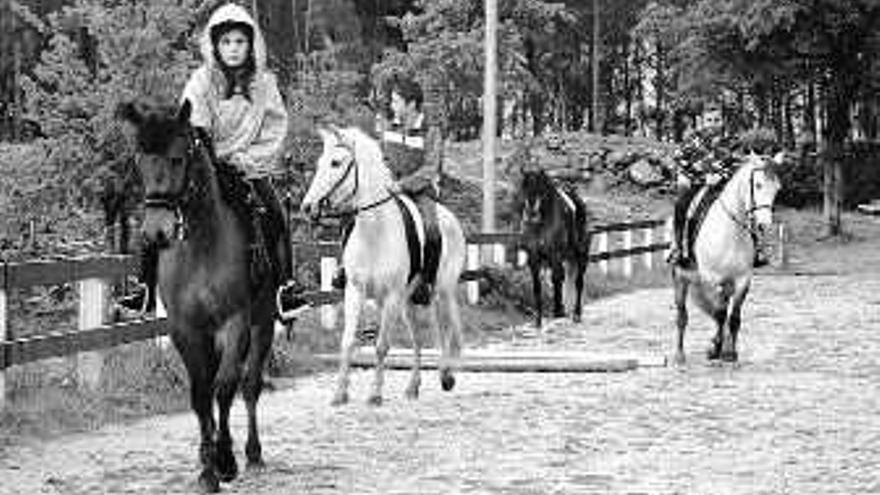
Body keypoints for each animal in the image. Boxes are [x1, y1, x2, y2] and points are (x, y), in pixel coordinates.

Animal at [116, 99, 288, 494]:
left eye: (178, 158)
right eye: (140, 161)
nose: (157, 232)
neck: (202, 247)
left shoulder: (236, 322)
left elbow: (224, 387)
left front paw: (225, 461)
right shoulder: (186, 329)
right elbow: (200, 393)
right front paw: (208, 469)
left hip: (263, 324)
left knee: (250, 385)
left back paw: (252, 454)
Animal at [300, 124, 468, 406]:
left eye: (336, 163)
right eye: (320, 162)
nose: (307, 207)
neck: (374, 232)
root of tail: (450, 219)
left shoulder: (391, 296)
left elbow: (381, 346)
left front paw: (375, 394)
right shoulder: (356, 291)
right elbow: (348, 342)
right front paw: (340, 393)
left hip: (441, 291)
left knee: (447, 327)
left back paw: (447, 375)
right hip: (408, 301)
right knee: (419, 338)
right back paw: (413, 387)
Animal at [516, 167, 592, 330]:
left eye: (541, 189)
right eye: (524, 187)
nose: (531, 214)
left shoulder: (554, 254)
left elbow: (556, 279)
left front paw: (558, 311)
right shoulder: (534, 257)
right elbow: (537, 286)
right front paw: (538, 320)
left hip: (581, 255)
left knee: (578, 282)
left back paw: (576, 314)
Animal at [672, 153, 784, 366]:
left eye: (777, 188)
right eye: (758, 185)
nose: (765, 226)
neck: (731, 233)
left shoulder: (742, 281)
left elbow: (733, 317)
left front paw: (728, 351)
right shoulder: (713, 279)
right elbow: (719, 314)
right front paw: (716, 348)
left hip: (725, 284)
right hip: (682, 278)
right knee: (683, 316)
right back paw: (679, 355)